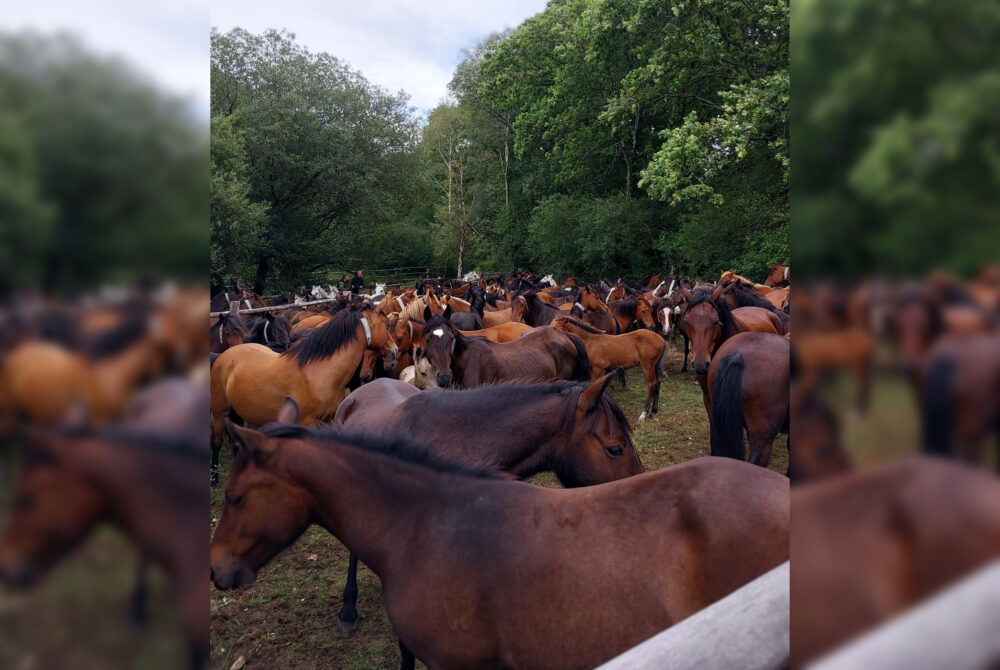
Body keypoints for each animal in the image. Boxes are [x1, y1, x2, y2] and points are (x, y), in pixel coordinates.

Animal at [209, 305, 398, 484]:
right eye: (386, 325)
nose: (394, 351)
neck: (320, 371)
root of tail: (224, 355)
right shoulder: (306, 423)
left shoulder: (329, 420)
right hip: (219, 413)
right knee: (216, 442)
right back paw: (214, 478)